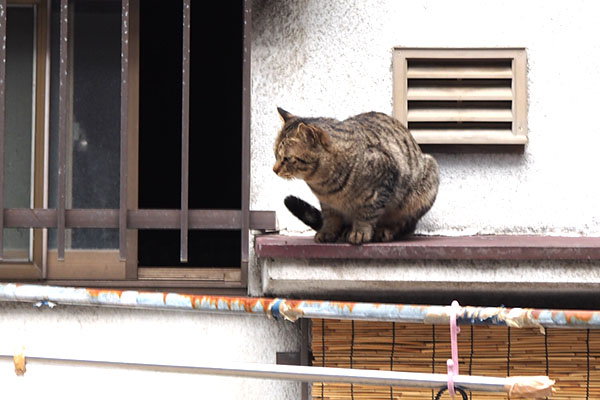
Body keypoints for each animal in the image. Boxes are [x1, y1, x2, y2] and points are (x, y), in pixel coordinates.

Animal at [274, 108, 438, 244]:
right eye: (275, 154)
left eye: (287, 158)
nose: (274, 169)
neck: (324, 186)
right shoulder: (327, 203)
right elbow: (330, 217)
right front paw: (327, 232)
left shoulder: (382, 183)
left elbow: (367, 213)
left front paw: (360, 232)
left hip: (425, 183)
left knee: (406, 225)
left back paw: (385, 230)